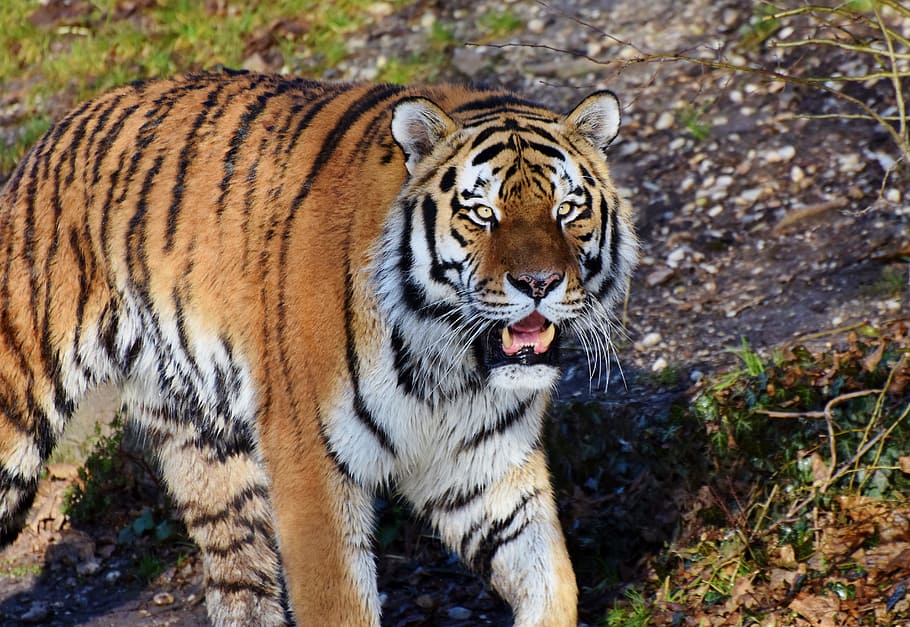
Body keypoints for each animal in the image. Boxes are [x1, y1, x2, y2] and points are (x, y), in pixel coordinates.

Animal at [0, 70, 637, 626]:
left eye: (567, 210)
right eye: (482, 213)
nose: (538, 284)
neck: (449, 361)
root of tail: (52, 135)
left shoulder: (485, 469)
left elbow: (553, 582)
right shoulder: (311, 464)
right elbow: (339, 604)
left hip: (209, 454)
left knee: (238, 585)